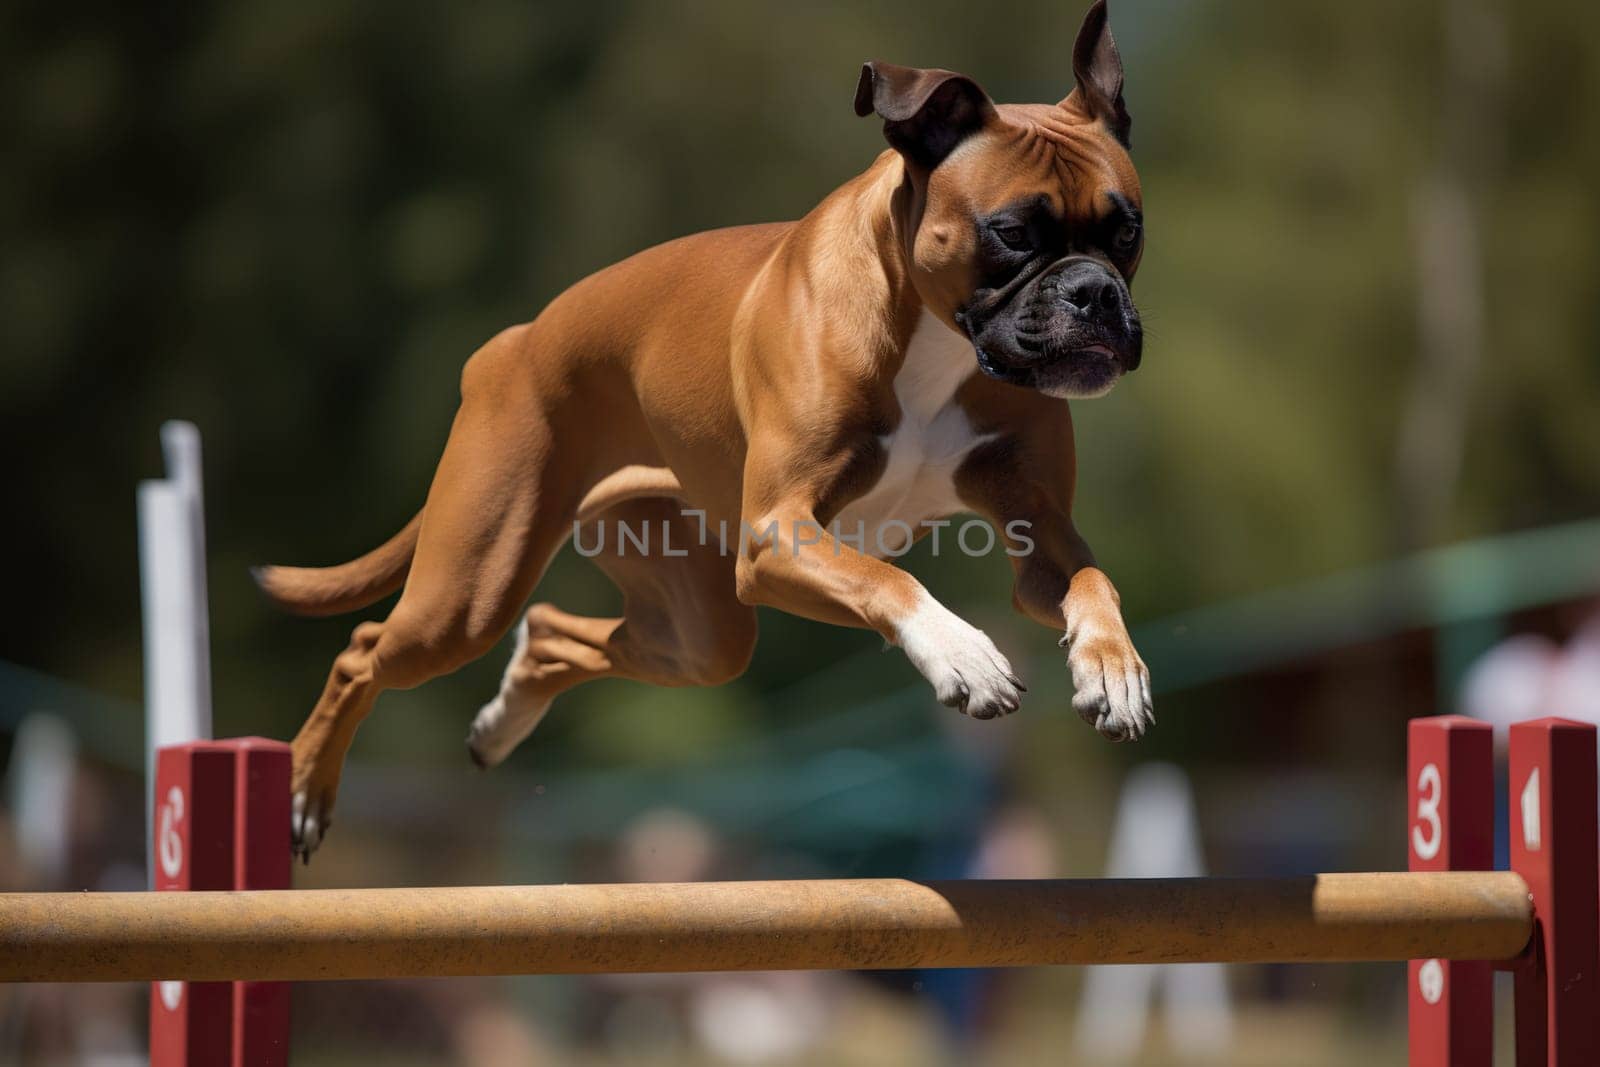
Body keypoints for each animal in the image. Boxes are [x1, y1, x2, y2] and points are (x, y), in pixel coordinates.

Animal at [259, 0, 1152, 863]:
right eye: (1013, 232)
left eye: (1128, 230)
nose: (1094, 293)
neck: (933, 335)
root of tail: (514, 342)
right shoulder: (778, 533)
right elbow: (888, 579)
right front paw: (962, 652)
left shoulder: (1037, 535)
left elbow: (1091, 581)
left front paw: (1113, 666)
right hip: (466, 598)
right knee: (364, 649)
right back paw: (301, 791)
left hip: (699, 630)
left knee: (554, 632)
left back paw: (502, 716)